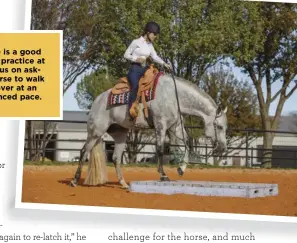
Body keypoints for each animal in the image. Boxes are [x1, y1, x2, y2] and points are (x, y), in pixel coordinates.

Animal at [69, 73, 227, 189]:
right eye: (219, 126)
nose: (222, 148)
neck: (174, 95)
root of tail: (97, 101)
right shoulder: (161, 125)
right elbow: (160, 149)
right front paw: (163, 176)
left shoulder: (175, 126)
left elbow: (186, 145)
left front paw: (181, 169)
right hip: (95, 132)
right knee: (83, 152)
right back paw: (74, 181)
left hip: (120, 135)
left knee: (115, 158)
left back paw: (123, 183)